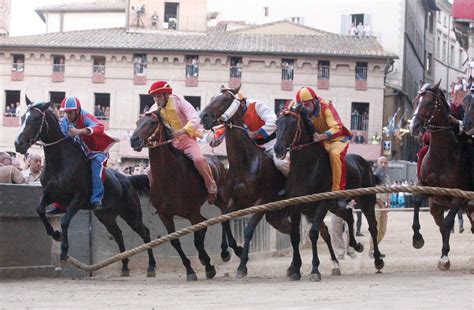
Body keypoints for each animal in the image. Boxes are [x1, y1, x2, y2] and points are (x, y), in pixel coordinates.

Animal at [13, 97, 156, 276]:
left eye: (36, 119)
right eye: (22, 117)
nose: (18, 144)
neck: (61, 162)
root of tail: (128, 180)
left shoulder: (79, 198)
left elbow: (65, 220)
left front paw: (64, 249)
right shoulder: (50, 193)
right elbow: (39, 210)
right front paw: (54, 233)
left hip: (131, 213)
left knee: (145, 233)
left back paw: (151, 266)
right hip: (106, 216)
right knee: (118, 235)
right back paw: (124, 266)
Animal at [130, 107, 241, 280]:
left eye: (152, 122)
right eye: (137, 122)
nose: (134, 140)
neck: (170, 176)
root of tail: (218, 161)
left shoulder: (192, 212)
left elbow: (197, 240)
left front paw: (209, 267)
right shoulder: (165, 214)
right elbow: (175, 241)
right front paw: (191, 269)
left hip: (221, 197)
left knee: (224, 217)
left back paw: (227, 251)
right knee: (209, 221)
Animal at [200, 86, 344, 280]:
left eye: (224, 100)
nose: (203, 116)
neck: (245, 163)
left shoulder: (262, 202)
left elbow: (248, 230)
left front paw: (242, 264)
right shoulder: (236, 201)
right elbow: (223, 219)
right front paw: (228, 251)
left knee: (321, 231)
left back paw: (331, 264)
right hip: (280, 216)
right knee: (296, 230)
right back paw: (293, 266)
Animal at [272, 103, 384, 280]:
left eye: (292, 124)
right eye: (277, 123)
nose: (278, 149)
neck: (307, 168)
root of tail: (366, 165)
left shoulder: (322, 203)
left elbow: (313, 233)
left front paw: (314, 269)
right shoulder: (297, 204)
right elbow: (295, 236)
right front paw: (295, 269)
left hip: (366, 201)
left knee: (372, 226)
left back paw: (378, 260)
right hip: (335, 206)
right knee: (348, 216)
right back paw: (354, 246)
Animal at [412, 81, 474, 270]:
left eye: (429, 102)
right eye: (416, 101)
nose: (413, 126)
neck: (442, 156)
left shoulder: (459, 196)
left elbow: (447, 223)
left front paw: (444, 257)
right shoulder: (427, 188)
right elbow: (417, 201)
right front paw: (417, 237)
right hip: (438, 206)